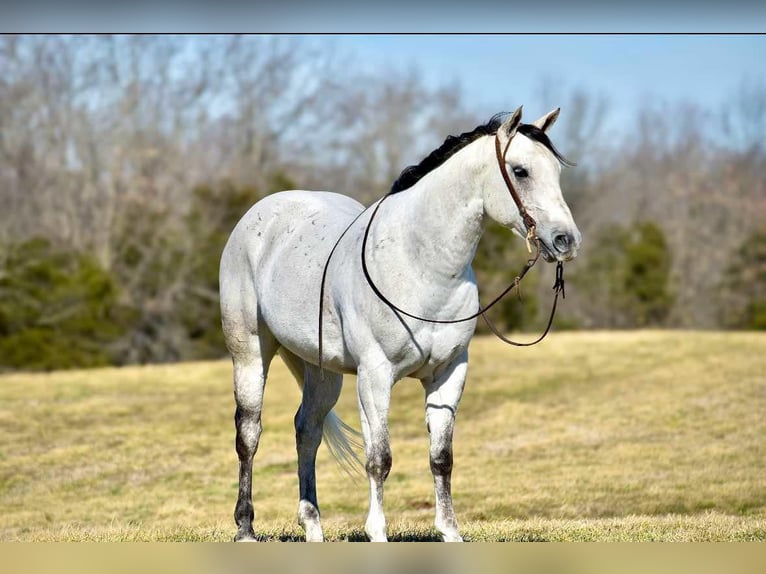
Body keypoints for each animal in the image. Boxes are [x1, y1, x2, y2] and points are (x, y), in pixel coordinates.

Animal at [218, 107, 584, 544]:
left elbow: (441, 457)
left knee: (307, 430)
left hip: (323, 372)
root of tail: (261, 214)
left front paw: (450, 531)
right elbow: (380, 458)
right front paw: (377, 532)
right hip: (250, 352)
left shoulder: (449, 374)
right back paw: (245, 528)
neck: (420, 263)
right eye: (521, 171)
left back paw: (313, 526)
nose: (566, 241)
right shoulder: (375, 377)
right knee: (249, 434)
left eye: (556, 172)